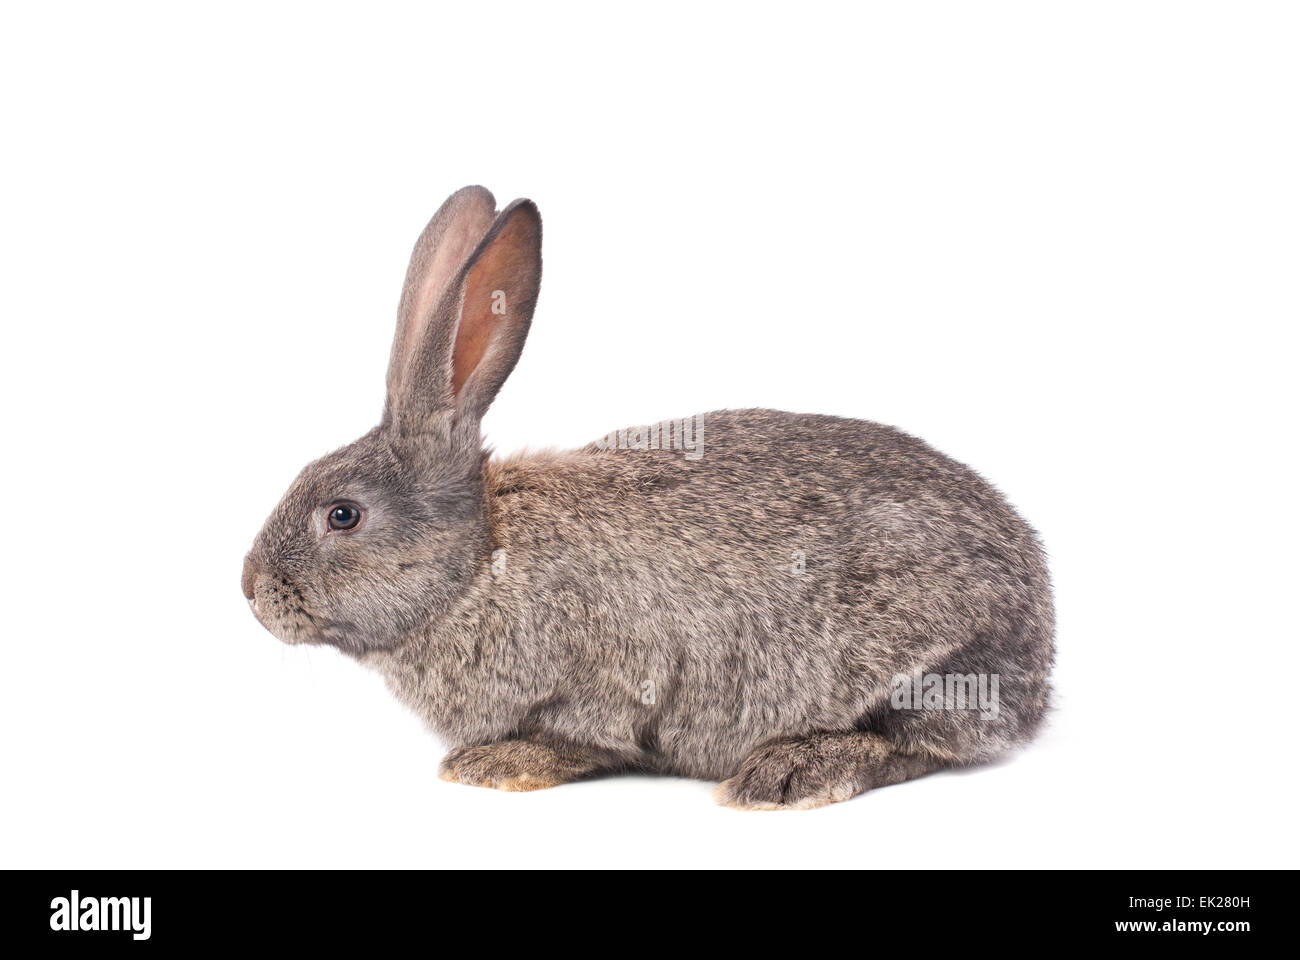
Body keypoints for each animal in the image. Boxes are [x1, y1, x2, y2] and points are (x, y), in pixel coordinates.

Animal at [242, 185, 1055, 810]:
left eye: (342, 515)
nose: (251, 591)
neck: (479, 563)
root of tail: (1040, 639)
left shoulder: (607, 684)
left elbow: (583, 738)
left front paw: (496, 765)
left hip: (928, 658)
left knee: (918, 744)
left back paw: (788, 772)